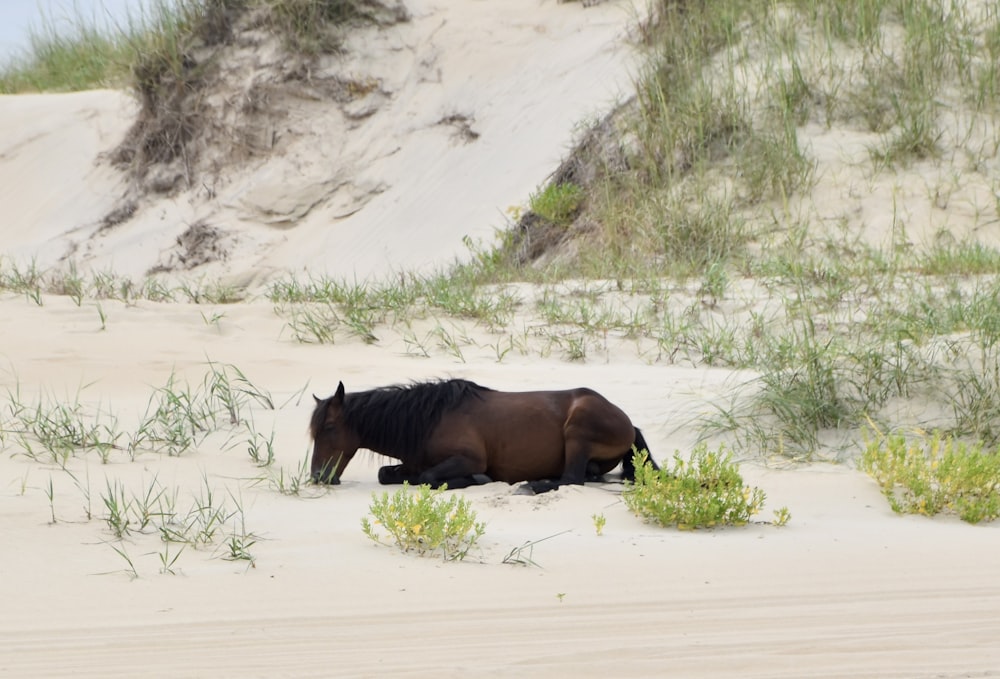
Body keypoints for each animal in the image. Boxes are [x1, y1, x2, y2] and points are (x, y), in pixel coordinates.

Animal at [312, 378, 656, 494]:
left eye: (328, 428)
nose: (317, 476)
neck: (430, 420)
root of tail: (629, 423)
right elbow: (388, 474)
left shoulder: (468, 458)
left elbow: (429, 477)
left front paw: (478, 480)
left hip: (579, 426)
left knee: (572, 479)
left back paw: (533, 485)